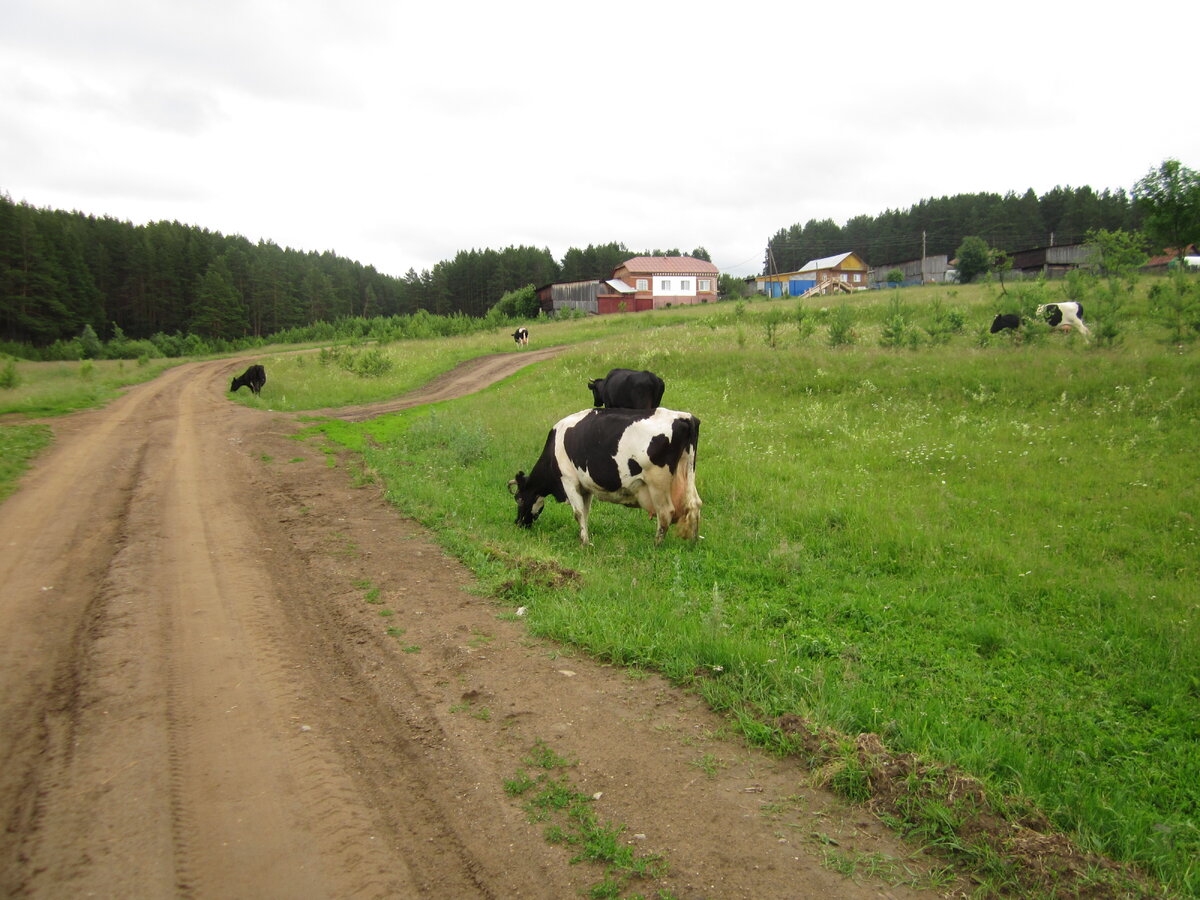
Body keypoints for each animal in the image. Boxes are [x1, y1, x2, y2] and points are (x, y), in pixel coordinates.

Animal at [508, 405, 700, 547]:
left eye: (519, 499)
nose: (517, 523)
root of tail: (685, 417)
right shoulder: (585, 487)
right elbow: (585, 512)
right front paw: (584, 538)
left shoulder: (568, 480)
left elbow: (578, 513)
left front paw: (585, 543)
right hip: (688, 473)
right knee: (695, 505)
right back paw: (693, 543)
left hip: (657, 482)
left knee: (666, 513)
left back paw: (656, 545)